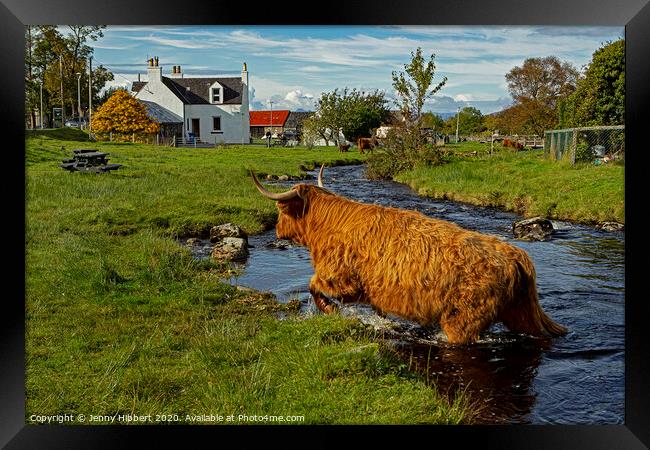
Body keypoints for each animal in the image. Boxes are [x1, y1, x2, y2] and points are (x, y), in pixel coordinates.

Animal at [251, 166, 564, 344]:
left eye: (280, 210)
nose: (276, 230)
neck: (327, 227)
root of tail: (515, 254)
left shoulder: (340, 278)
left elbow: (313, 286)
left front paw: (329, 310)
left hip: (462, 319)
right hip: (519, 311)